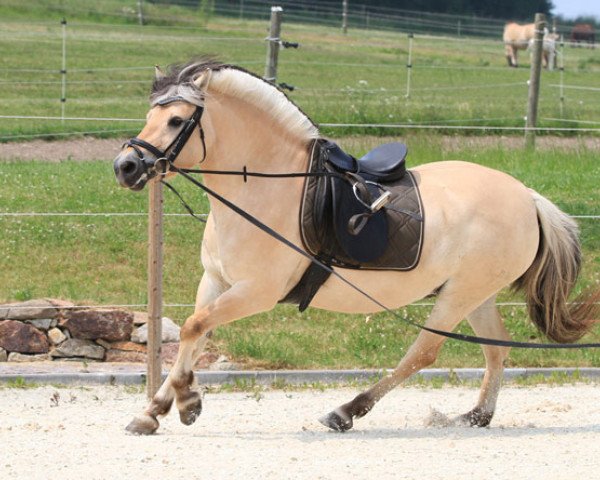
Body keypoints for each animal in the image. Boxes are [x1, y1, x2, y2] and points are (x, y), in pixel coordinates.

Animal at [113, 57, 600, 436]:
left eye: (177, 120)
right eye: (150, 115)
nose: (125, 166)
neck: (266, 187)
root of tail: (528, 198)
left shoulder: (256, 292)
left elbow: (194, 329)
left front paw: (186, 401)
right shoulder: (215, 281)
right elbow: (195, 333)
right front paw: (155, 411)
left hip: (460, 294)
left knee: (422, 353)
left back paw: (346, 411)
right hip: (475, 294)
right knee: (495, 350)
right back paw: (476, 416)